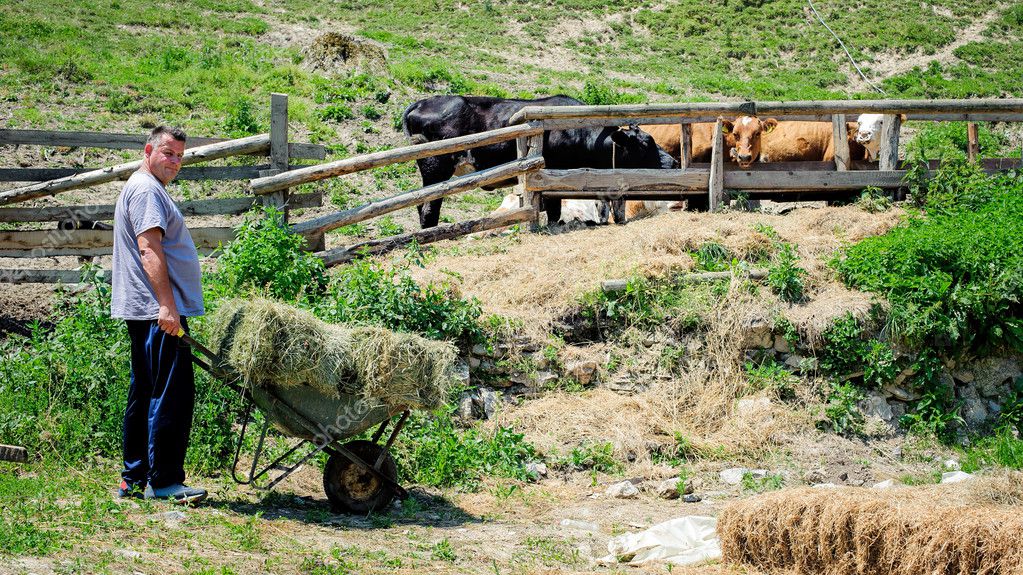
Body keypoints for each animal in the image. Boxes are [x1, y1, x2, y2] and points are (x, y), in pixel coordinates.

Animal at [402, 95, 678, 229]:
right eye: (645, 144)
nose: (673, 162)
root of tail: (424, 101)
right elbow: (554, 211)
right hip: (436, 167)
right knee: (429, 209)